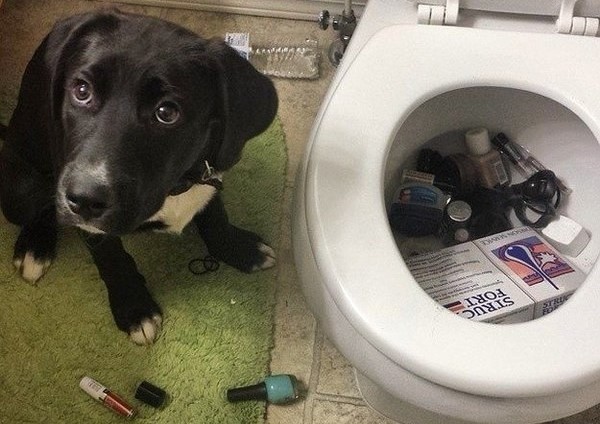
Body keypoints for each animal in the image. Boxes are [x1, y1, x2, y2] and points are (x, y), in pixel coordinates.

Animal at [0, 10, 278, 344]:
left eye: (166, 112)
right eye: (81, 91)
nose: (83, 199)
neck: (174, 186)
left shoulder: (213, 166)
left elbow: (215, 214)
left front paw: (238, 249)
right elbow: (111, 257)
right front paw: (134, 307)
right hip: (20, 191)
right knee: (38, 208)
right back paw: (34, 246)